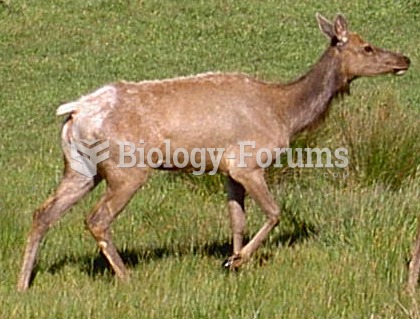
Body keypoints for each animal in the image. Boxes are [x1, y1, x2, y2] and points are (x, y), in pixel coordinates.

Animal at [17, 13, 410, 292]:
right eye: (367, 47)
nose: (404, 58)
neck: (284, 113)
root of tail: (76, 111)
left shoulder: (227, 170)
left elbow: (237, 219)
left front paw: (235, 261)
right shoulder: (249, 163)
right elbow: (274, 212)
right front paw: (235, 262)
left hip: (80, 168)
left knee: (42, 213)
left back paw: (23, 283)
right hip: (126, 168)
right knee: (96, 219)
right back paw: (127, 279)